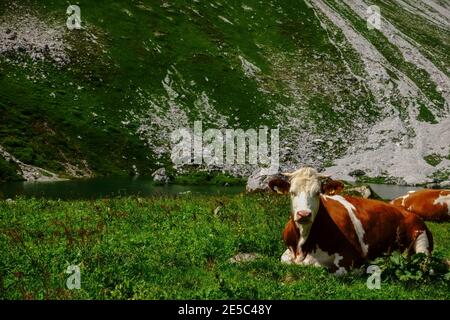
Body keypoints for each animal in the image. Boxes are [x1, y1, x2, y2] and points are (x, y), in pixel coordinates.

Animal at [268, 166, 434, 274]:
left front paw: (360, 270)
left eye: (317, 192)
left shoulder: (350, 256)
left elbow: (328, 268)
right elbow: (284, 259)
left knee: (426, 266)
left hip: (421, 239)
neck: (304, 246)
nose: (304, 214)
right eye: (292, 192)